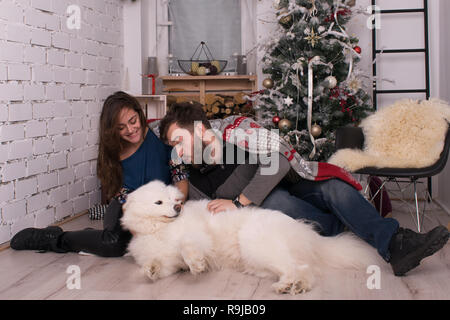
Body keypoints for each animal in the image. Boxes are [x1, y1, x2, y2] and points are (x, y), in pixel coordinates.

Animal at [121, 180, 382, 296]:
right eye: (159, 202)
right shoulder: (171, 264)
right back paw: (290, 285)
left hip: (257, 246)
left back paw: (291, 285)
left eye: (175, 201)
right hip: (258, 262)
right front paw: (150, 269)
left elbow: (188, 247)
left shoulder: (196, 238)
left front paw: (196, 264)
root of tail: (303, 229)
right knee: (299, 269)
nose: (177, 208)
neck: (159, 230)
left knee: (301, 268)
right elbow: (158, 265)